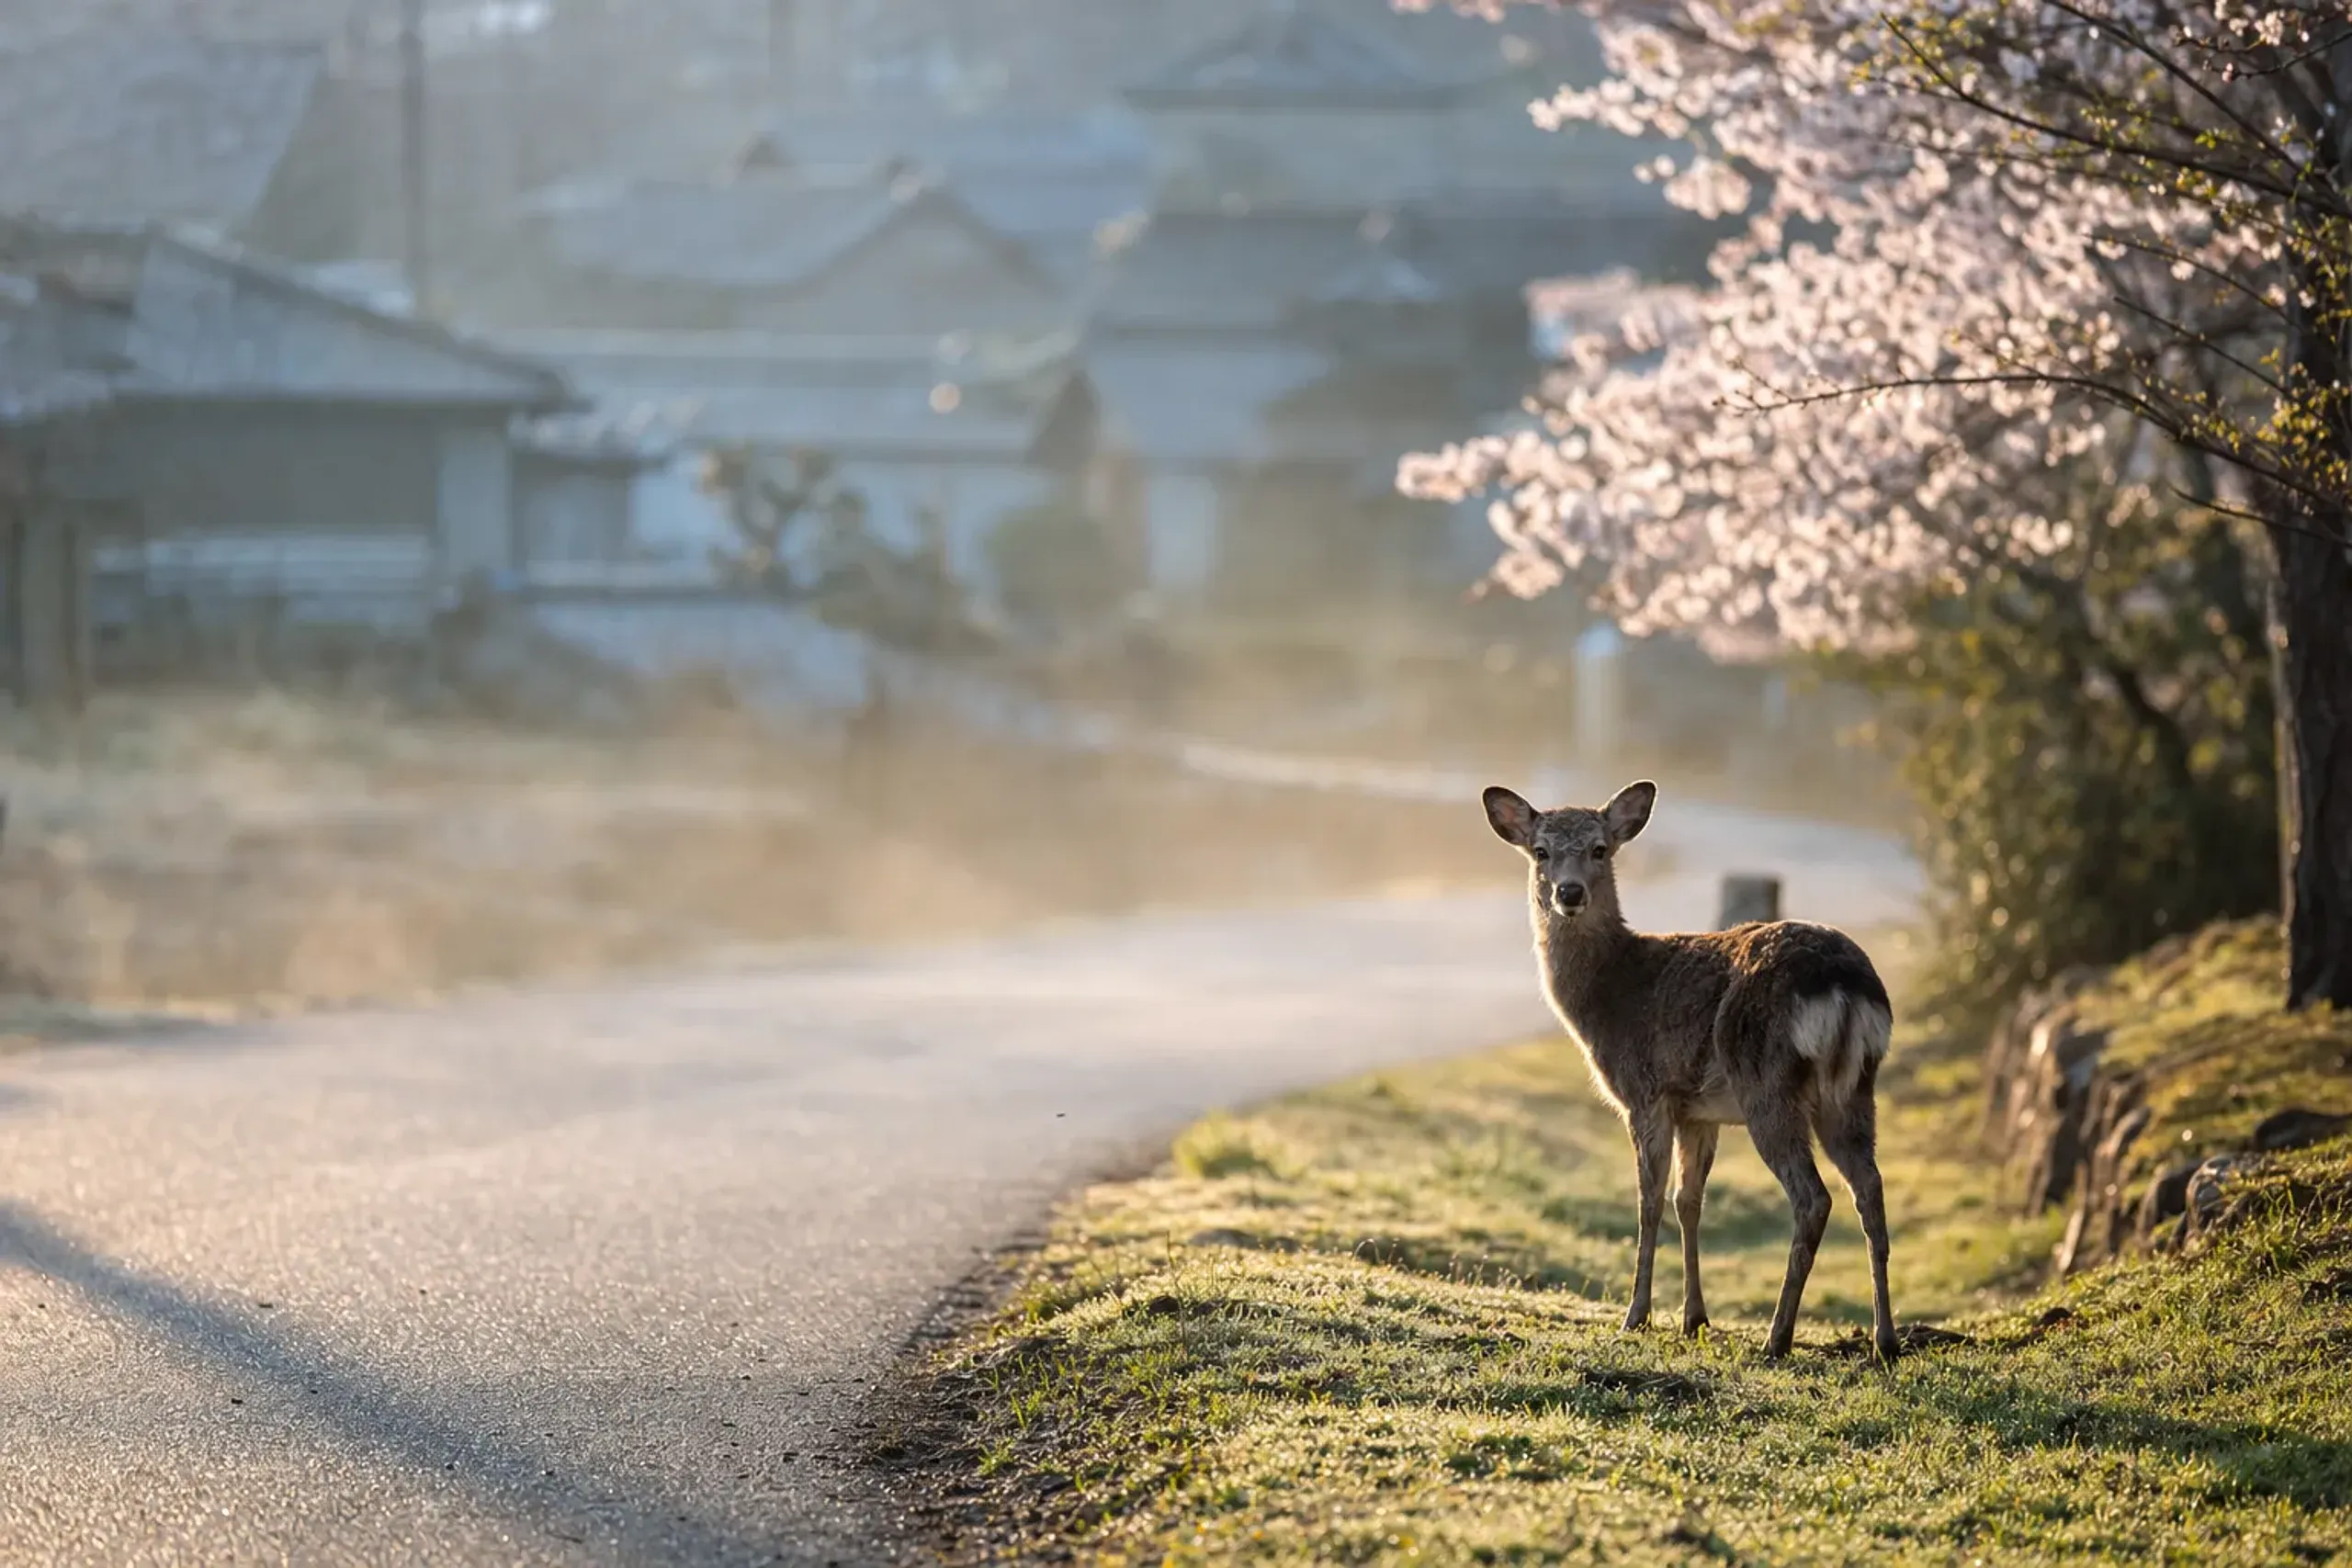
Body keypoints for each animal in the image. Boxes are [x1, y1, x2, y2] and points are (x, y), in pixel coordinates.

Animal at [1481, 779, 1900, 1363]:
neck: (1607, 995)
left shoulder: (1644, 1093)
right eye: (1540, 851)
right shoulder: (1698, 1112)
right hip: (1855, 1089)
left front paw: (1636, 1317)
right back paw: (1886, 1340)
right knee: (1872, 1191)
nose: (1569, 893)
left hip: (1766, 1084)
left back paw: (1777, 1338)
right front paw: (1694, 1318)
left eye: (1600, 849)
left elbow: (1649, 1202)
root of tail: (1844, 985)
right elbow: (1689, 1202)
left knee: (1814, 1198)